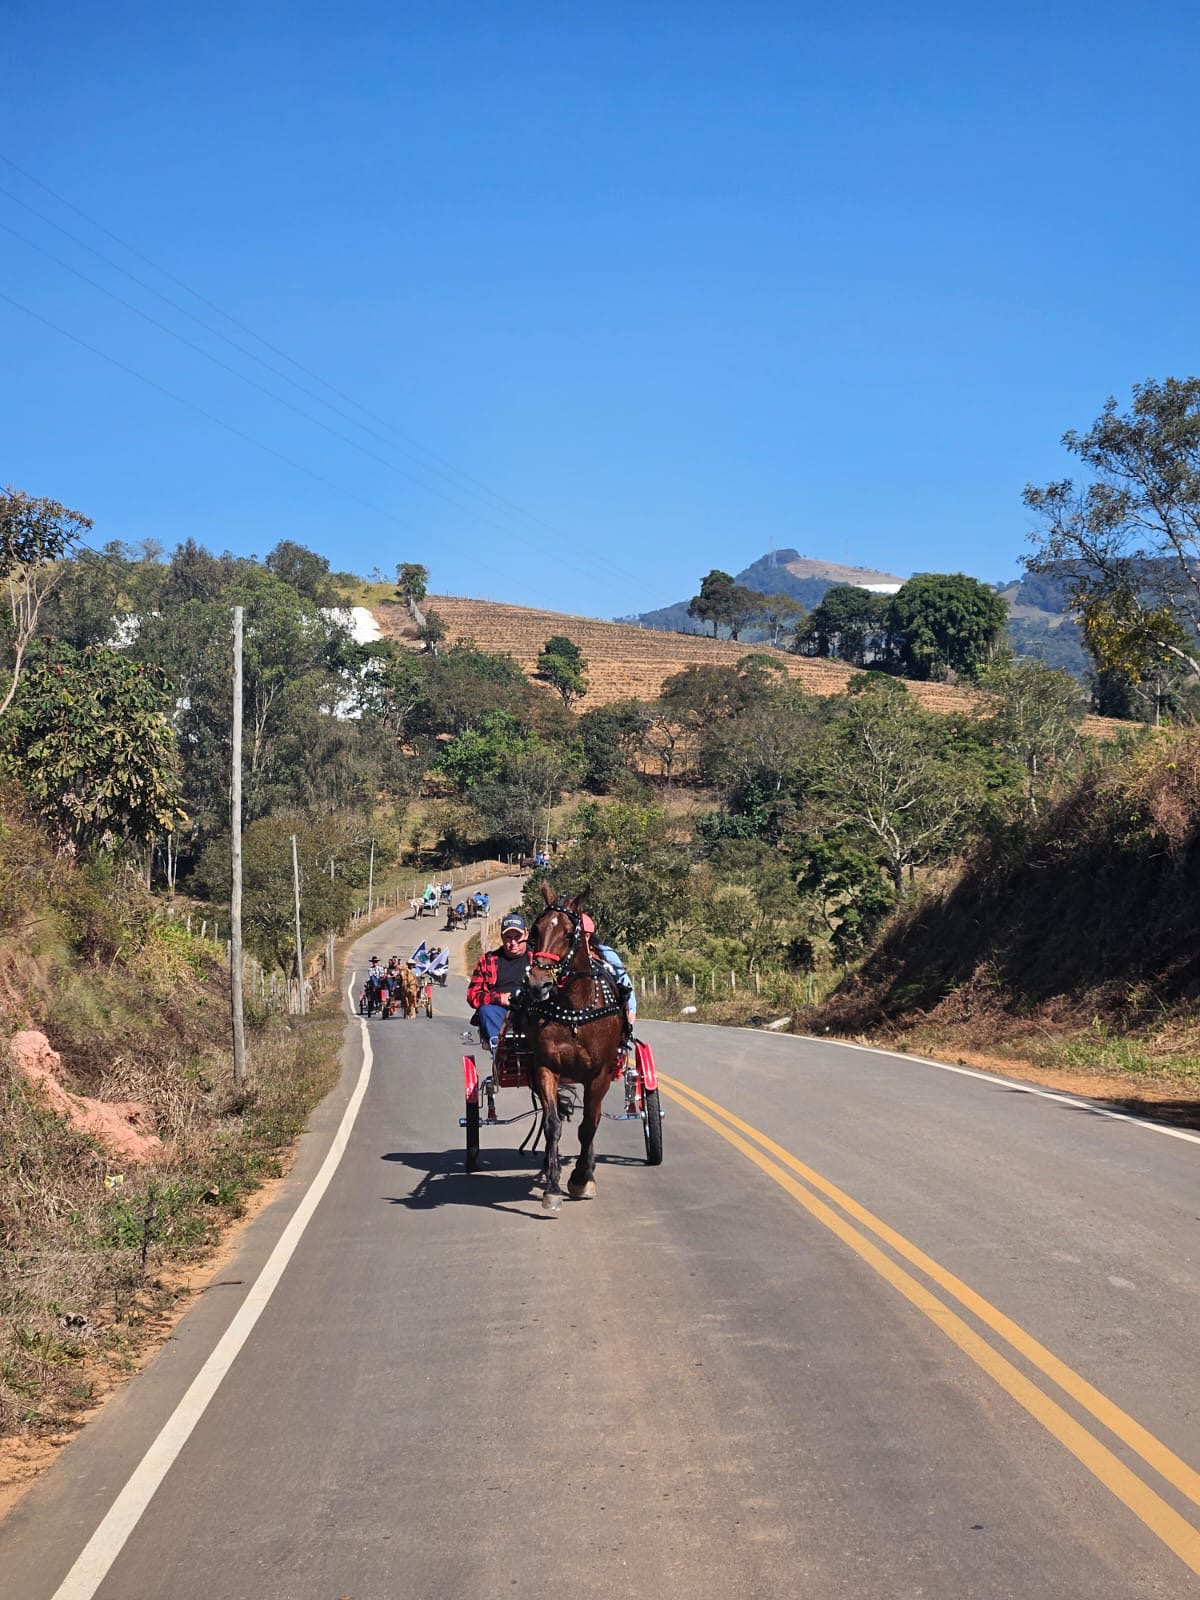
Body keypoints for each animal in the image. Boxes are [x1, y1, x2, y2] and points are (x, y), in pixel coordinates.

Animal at [520, 882, 625, 1214]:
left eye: (569, 934)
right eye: (535, 931)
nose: (538, 983)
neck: (574, 1010)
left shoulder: (599, 1076)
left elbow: (587, 1127)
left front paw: (581, 1178)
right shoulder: (546, 1068)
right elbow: (552, 1125)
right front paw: (552, 1186)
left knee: (592, 1119)